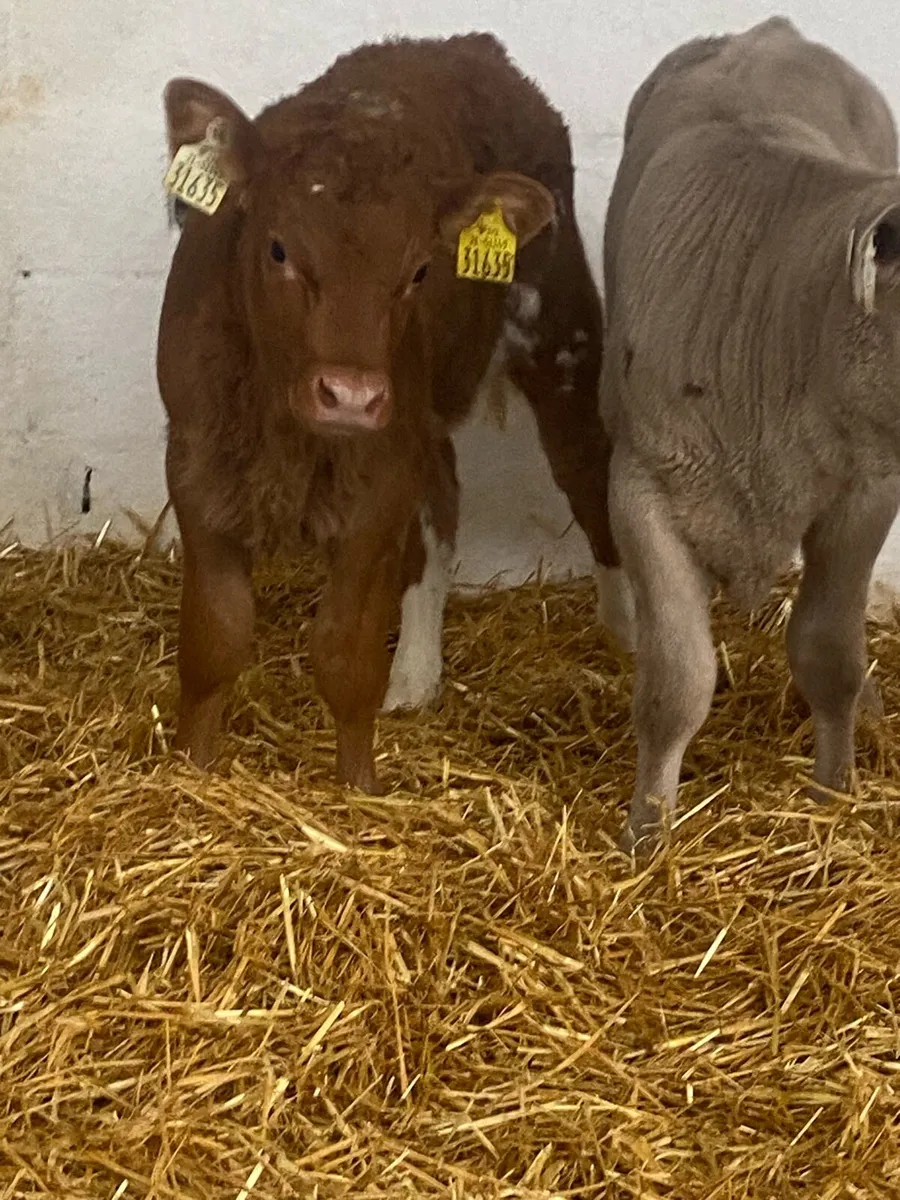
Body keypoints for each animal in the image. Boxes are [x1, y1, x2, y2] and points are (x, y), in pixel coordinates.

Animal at [157, 33, 634, 795]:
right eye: (278, 248)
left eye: (418, 270)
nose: (351, 394)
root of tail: (464, 45)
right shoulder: (196, 461)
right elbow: (216, 637)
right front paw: (191, 767)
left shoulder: (378, 478)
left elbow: (345, 651)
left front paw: (359, 788)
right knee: (442, 503)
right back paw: (415, 675)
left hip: (557, 329)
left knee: (587, 471)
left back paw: (625, 632)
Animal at [600, 16, 900, 853]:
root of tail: (769, 30)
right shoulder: (640, 488)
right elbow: (676, 680)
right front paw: (646, 836)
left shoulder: (866, 491)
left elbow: (829, 651)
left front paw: (835, 792)